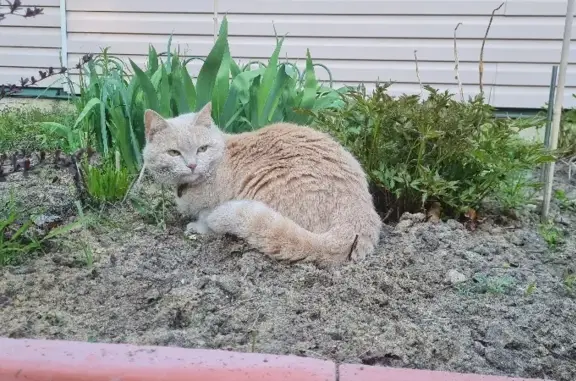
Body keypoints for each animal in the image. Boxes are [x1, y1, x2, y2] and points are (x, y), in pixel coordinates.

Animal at [141, 101, 382, 264]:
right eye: (174, 153)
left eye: (202, 149)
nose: (192, 165)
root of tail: (357, 218)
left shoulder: (212, 206)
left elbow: (206, 220)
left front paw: (198, 228)